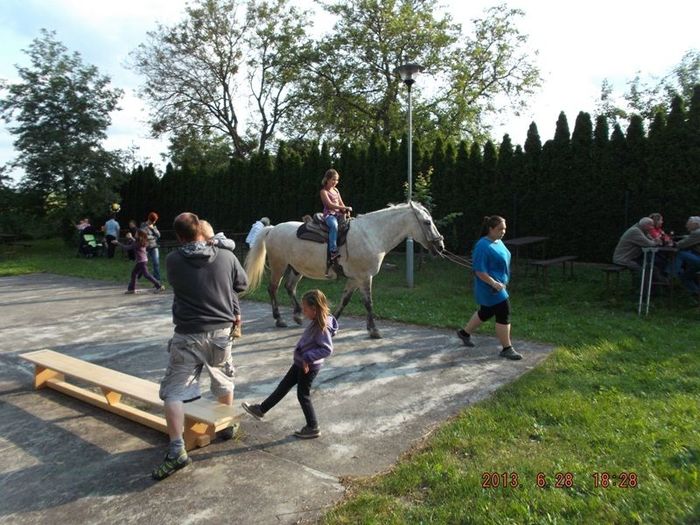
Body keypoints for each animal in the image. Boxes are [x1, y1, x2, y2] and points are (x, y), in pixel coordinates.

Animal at [244, 202, 445, 338]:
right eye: (427, 222)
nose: (440, 246)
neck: (372, 235)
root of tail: (272, 229)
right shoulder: (364, 277)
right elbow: (368, 302)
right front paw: (374, 330)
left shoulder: (355, 278)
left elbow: (345, 300)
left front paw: (332, 324)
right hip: (279, 265)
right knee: (273, 288)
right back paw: (279, 319)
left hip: (296, 268)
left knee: (290, 287)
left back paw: (298, 315)